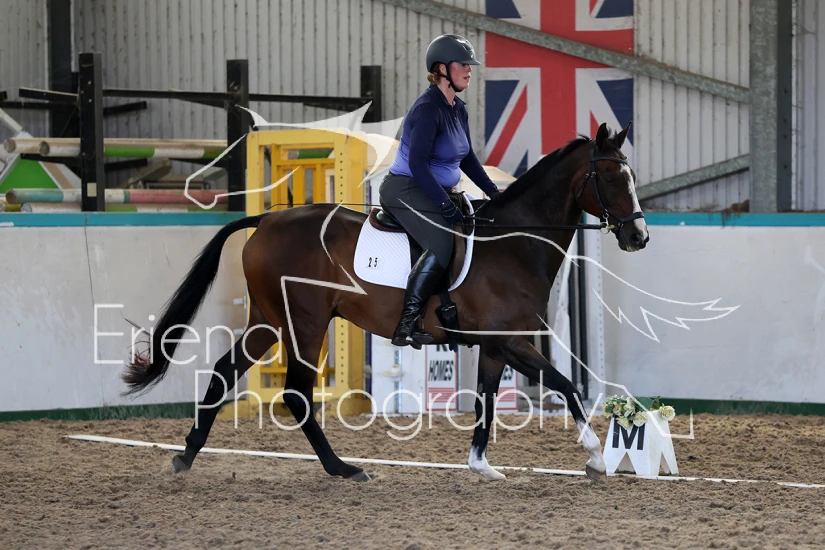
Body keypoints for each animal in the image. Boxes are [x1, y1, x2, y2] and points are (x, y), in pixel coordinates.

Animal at [121, 121, 648, 483]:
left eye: (632, 176)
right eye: (611, 178)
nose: (638, 237)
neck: (512, 244)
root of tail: (266, 221)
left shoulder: (497, 346)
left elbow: (486, 401)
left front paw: (480, 465)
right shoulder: (508, 341)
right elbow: (567, 386)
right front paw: (596, 458)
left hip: (268, 321)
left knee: (224, 372)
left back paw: (187, 454)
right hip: (305, 323)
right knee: (295, 393)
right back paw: (343, 468)